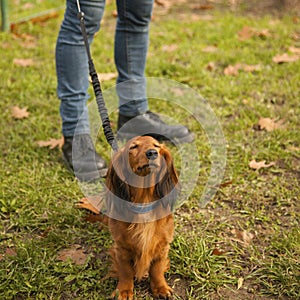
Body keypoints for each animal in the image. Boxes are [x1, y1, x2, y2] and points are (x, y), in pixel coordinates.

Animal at [106, 137, 178, 300]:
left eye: (156, 146)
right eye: (133, 147)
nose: (152, 153)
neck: (144, 201)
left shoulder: (162, 246)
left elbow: (156, 269)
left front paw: (160, 288)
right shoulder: (122, 248)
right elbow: (126, 271)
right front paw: (124, 291)